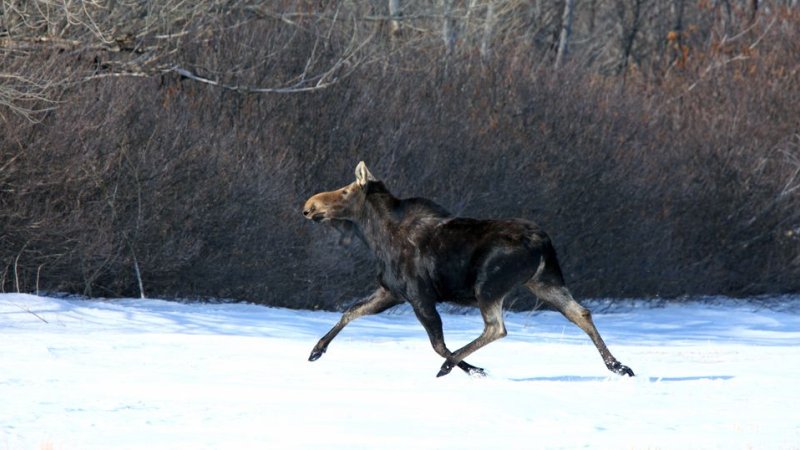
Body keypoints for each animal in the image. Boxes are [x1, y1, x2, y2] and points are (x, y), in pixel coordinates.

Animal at [304, 160, 636, 378]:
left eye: (345, 191)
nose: (309, 205)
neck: (376, 238)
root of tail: (543, 243)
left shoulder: (418, 295)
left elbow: (437, 344)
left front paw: (469, 369)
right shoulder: (391, 291)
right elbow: (351, 311)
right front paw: (316, 350)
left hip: (488, 285)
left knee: (496, 328)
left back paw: (450, 366)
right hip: (544, 281)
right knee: (581, 313)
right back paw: (618, 366)